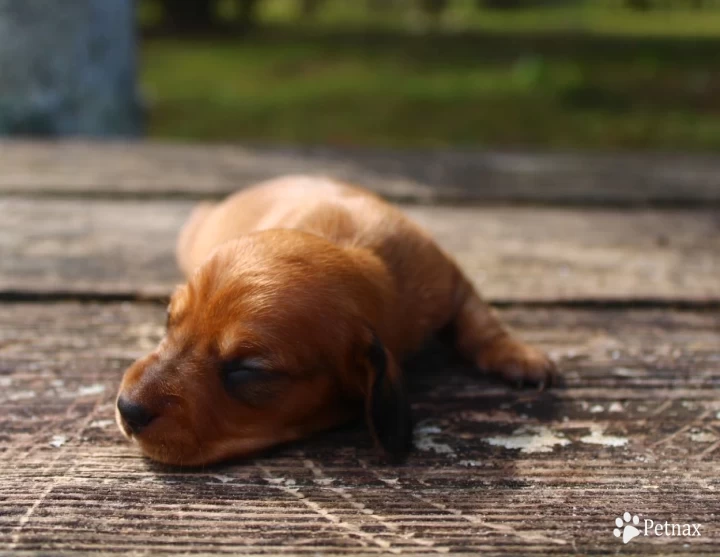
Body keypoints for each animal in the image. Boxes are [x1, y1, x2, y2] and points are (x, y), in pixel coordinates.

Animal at [116, 175, 556, 464]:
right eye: (168, 322)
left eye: (248, 370)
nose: (126, 408)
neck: (351, 243)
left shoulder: (450, 281)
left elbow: (480, 322)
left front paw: (517, 354)